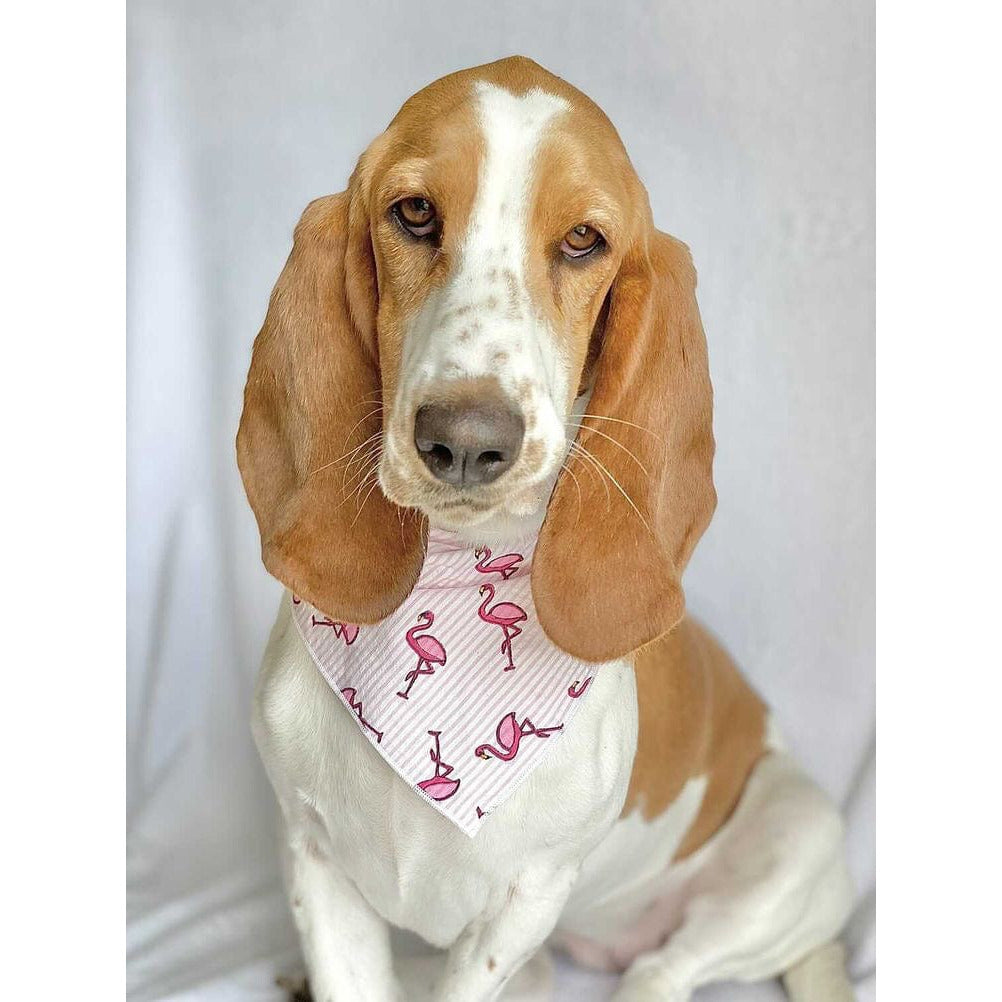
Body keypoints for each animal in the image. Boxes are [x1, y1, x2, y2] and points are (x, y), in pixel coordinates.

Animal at [234, 56, 853, 1002]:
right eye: (414, 212)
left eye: (584, 240)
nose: (465, 441)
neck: (460, 576)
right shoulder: (314, 863)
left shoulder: (527, 899)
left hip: (796, 840)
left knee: (665, 971)